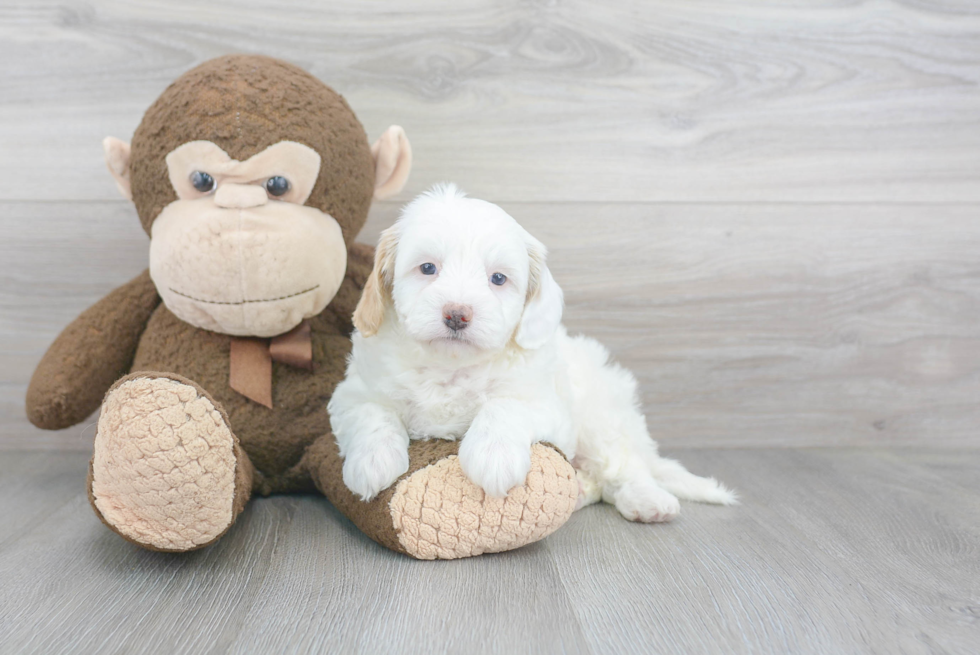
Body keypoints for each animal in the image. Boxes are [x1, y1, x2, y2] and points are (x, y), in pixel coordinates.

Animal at [330, 184, 736, 524]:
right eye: (427, 268)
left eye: (498, 278)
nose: (457, 314)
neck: (452, 368)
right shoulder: (352, 394)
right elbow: (373, 413)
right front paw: (372, 462)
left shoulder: (547, 405)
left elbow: (504, 406)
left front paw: (493, 457)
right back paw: (580, 491)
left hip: (601, 416)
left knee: (623, 466)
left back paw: (648, 500)